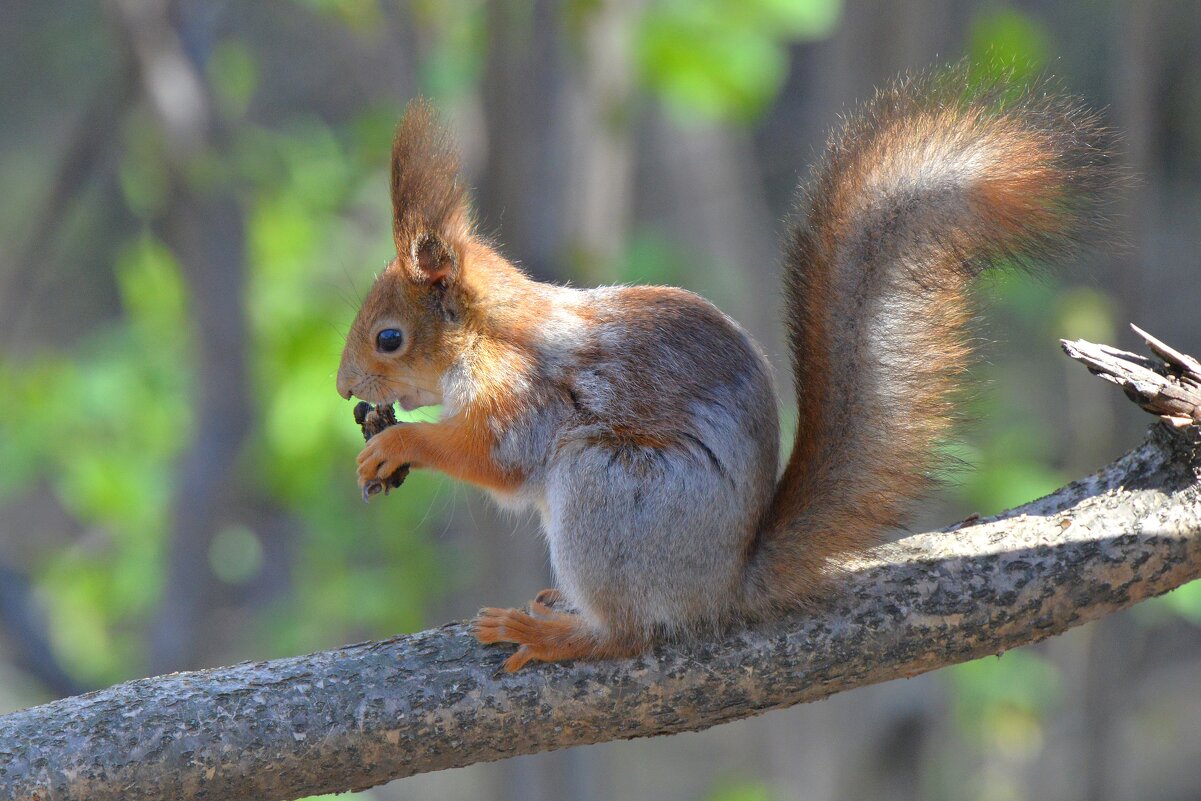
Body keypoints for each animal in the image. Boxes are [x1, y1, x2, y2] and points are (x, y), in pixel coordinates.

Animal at [336, 70, 1114, 672]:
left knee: (629, 631)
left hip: (609, 488)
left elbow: (493, 458)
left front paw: (397, 443)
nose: (345, 389)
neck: (491, 334)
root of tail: (724, 582)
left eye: (389, 338)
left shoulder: (523, 395)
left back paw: (557, 632)